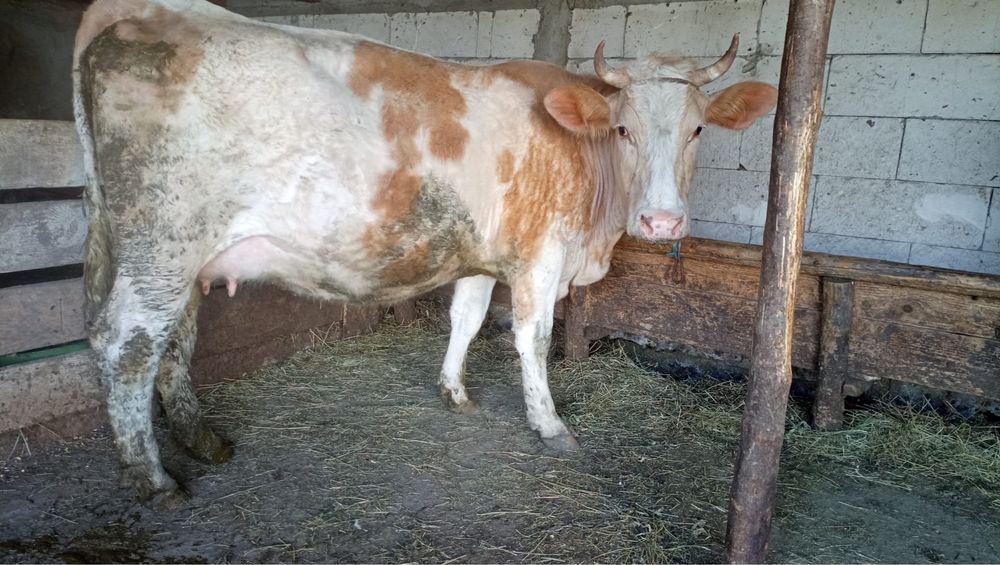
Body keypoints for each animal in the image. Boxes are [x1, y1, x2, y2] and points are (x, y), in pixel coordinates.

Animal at [73, 0, 777, 507]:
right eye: (623, 129)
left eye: (697, 128)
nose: (662, 220)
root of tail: (145, 14)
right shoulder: (541, 255)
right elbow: (533, 338)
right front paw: (549, 425)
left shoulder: (482, 256)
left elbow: (466, 318)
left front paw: (454, 392)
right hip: (163, 240)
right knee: (126, 343)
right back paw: (155, 480)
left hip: (175, 254)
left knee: (176, 339)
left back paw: (203, 441)